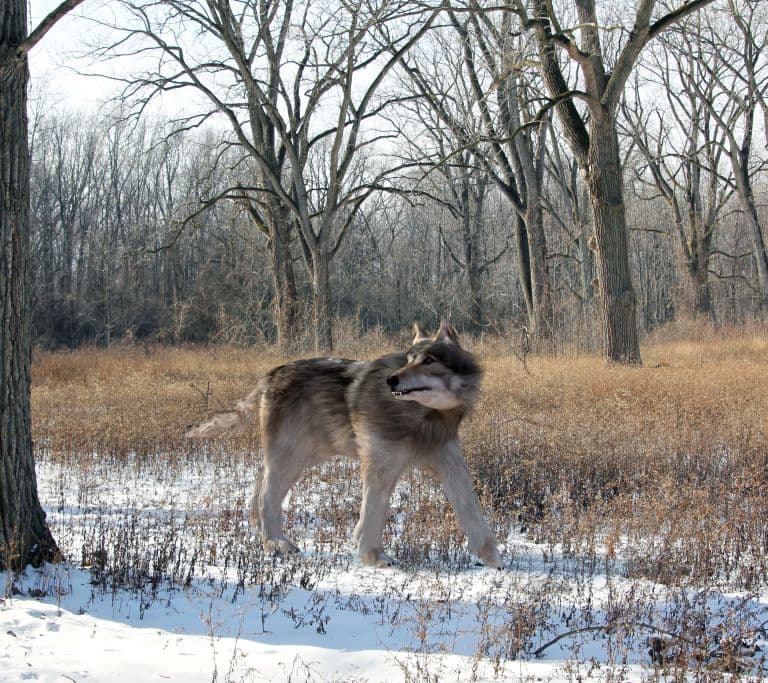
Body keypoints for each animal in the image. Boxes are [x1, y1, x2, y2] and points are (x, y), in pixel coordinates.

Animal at [186, 322, 503, 569]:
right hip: (291, 460)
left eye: (428, 361)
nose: (392, 380)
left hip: (303, 457)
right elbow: (372, 514)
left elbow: (470, 509)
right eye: (409, 359)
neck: (424, 415)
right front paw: (374, 556)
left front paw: (491, 557)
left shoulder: (451, 464)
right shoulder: (380, 467)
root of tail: (270, 375)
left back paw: (262, 533)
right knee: (267, 497)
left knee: (258, 481)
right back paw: (276, 543)